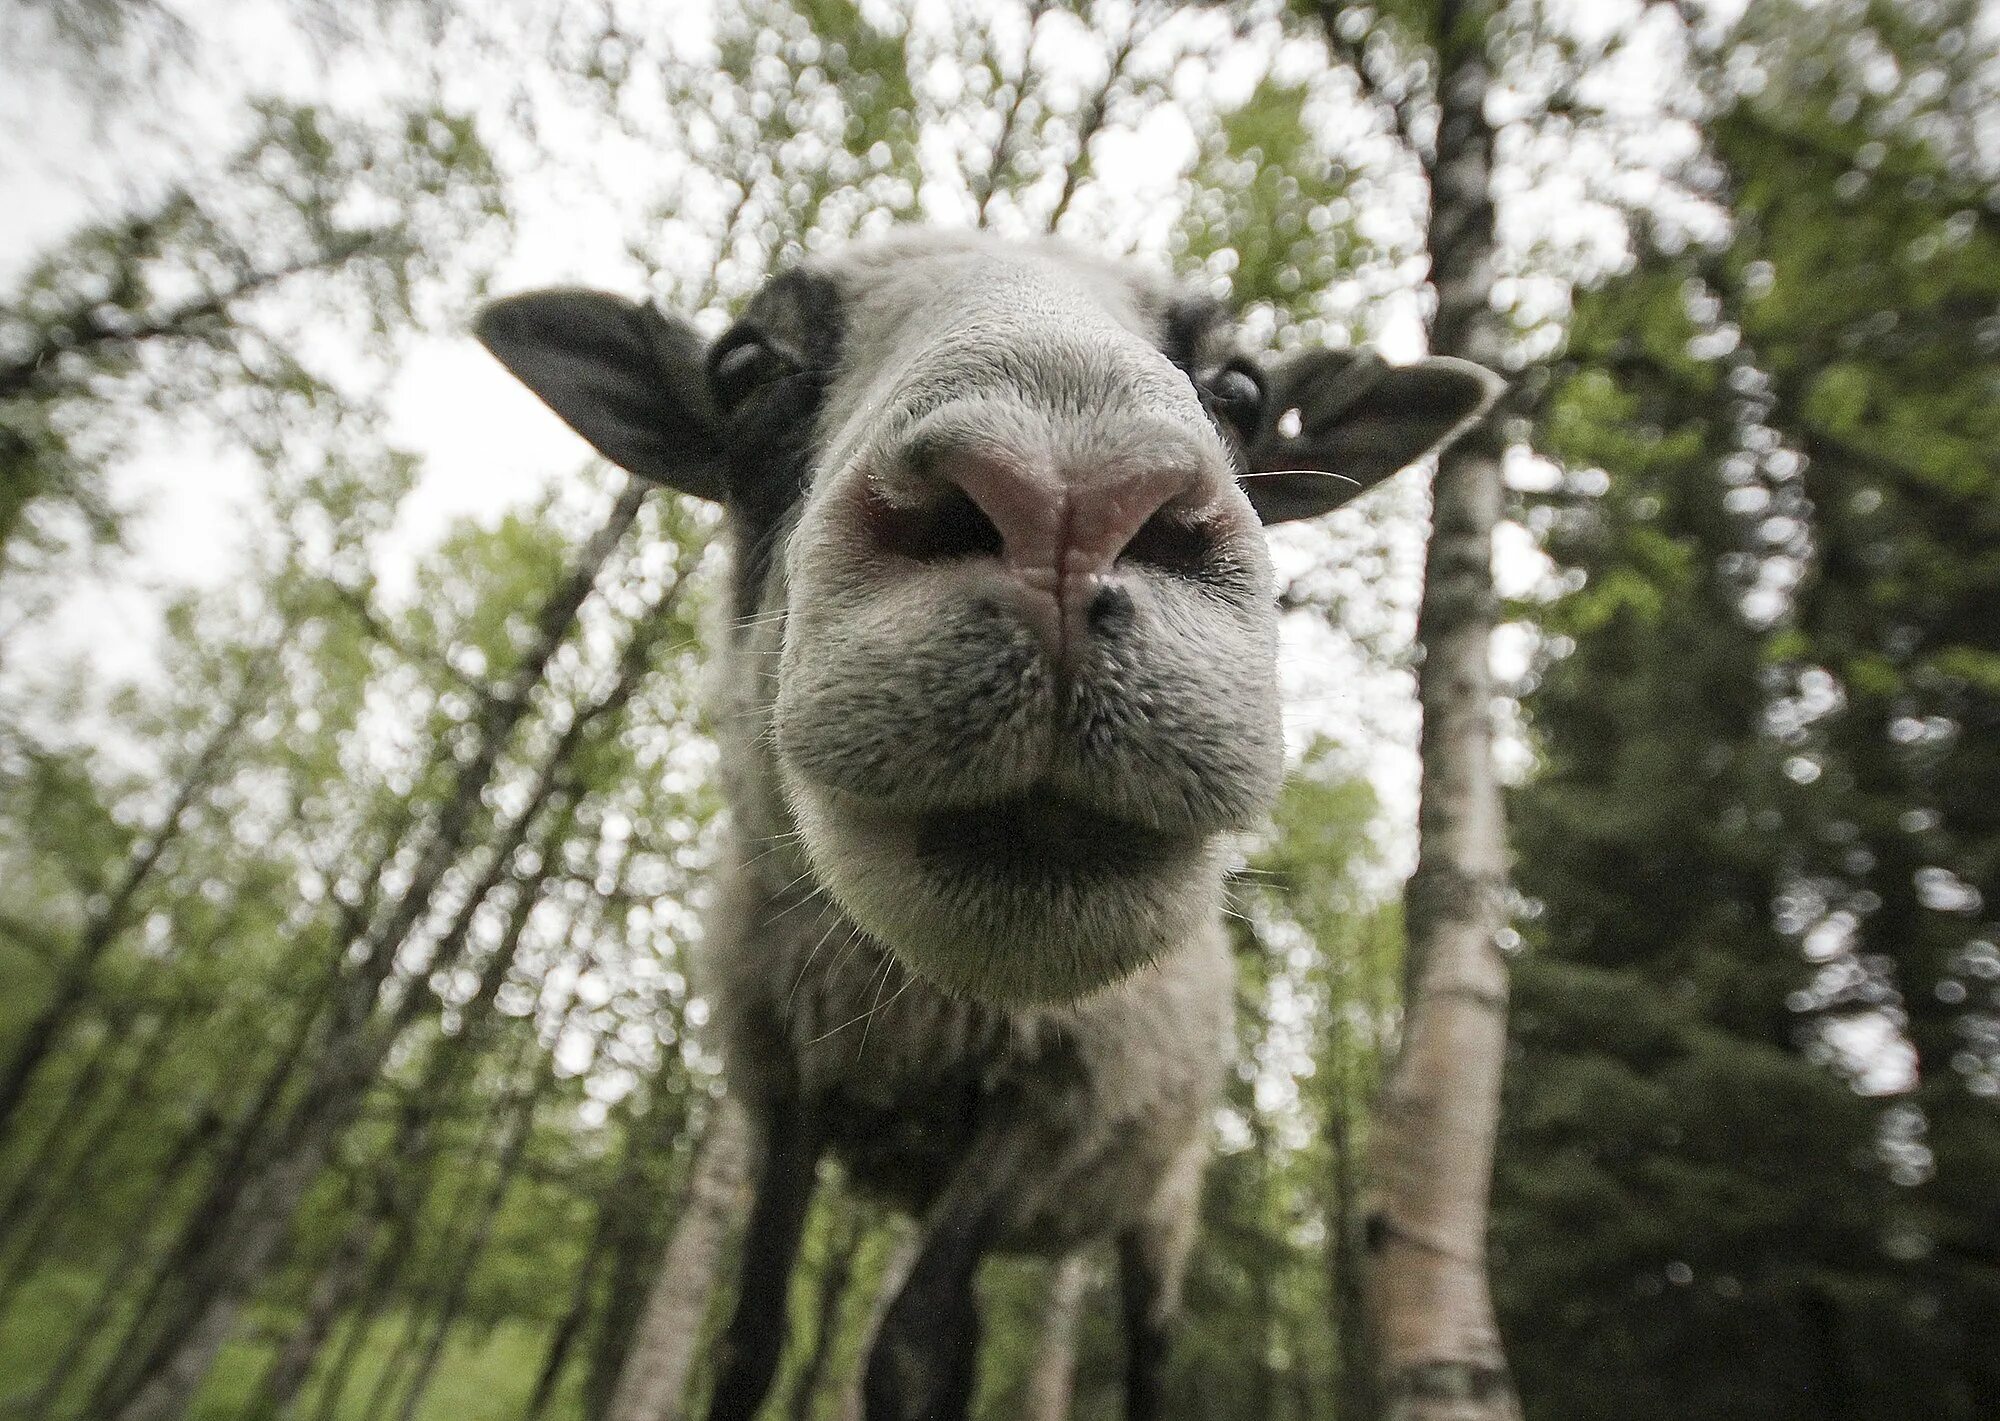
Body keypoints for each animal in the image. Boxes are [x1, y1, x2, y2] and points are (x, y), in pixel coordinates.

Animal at [476, 231, 1496, 1421]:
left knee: (1140, 1350)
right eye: (741, 365)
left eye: (1244, 388)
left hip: (1163, 1195)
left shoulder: (1056, 1096)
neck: (925, 999)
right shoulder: (788, 1079)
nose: (1065, 509)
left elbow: (911, 1348)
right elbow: (752, 1337)